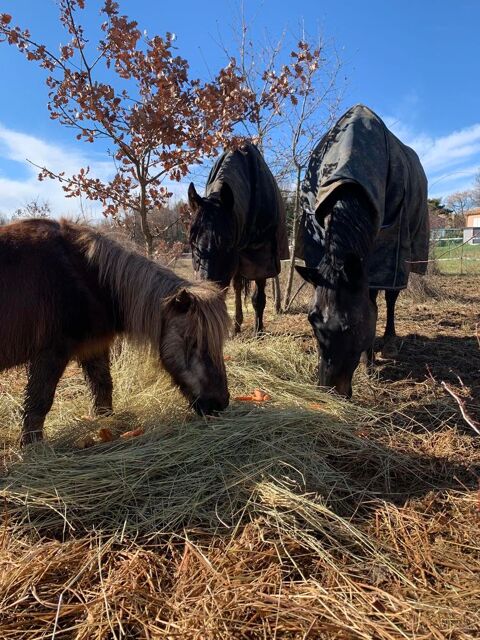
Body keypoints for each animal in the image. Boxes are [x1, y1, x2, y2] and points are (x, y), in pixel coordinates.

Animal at [0, 218, 230, 445]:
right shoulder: (51, 353)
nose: (220, 403)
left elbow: (103, 389)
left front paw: (106, 429)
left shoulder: (93, 347)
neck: (85, 275)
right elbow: (39, 401)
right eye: (192, 341)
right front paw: (32, 446)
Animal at [188, 142, 289, 334]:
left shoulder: (263, 260)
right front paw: (234, 327)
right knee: (236, 288)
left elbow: (258, 298)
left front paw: (259, 330)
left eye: (227, 243)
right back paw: (236, 324)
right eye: (191, 243)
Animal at [295, 104, 429, 397]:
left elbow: (375, 304)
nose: (330, 391)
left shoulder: (385, 250)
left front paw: (370, 363)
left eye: (352, 326)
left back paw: (388, 341)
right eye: (311, 320)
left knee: (389, 299)